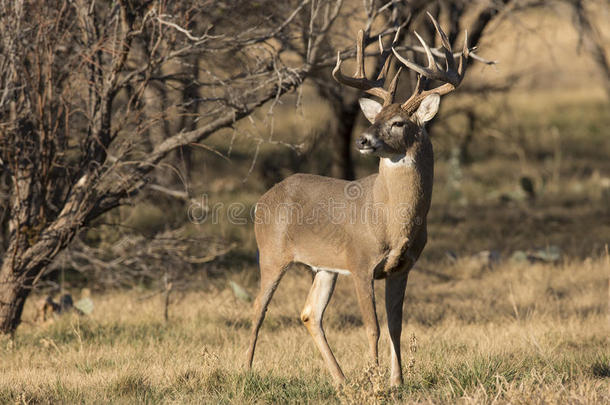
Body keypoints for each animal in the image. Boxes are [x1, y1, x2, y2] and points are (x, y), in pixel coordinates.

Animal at [246, 12, 476, 386]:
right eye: (375, 118)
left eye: (398, 122)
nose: (363, 140)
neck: (392, 220)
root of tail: (262, 200)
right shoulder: (359, 262)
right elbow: (373, 328)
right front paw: (375, 380)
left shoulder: (402, 267)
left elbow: (396, 326)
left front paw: (397, 382)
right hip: (271, 252)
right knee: (258, 308)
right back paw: (247, 370)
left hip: (324, 266)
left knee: (309, 313)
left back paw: (341, 380)